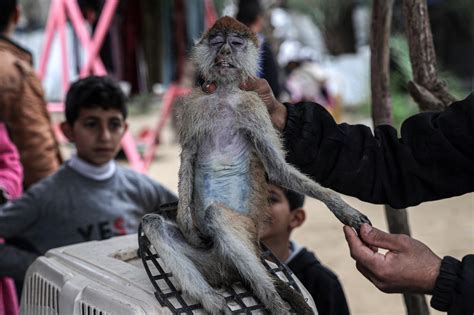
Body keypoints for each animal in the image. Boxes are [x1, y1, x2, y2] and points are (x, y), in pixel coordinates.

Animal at [142, 16, 370, 315]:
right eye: (218, 42)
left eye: (236, 43)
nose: (225, 52)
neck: (224, 94)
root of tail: (227, 267)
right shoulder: (195, 107)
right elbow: (189, 157)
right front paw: (185, 220)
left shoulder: (254, 106)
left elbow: (277, 168)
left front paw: (342, 208)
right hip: (209, 256)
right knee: (153, 224)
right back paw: (213, 301)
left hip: (242, 239)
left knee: (217, 215)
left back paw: (273, 301)